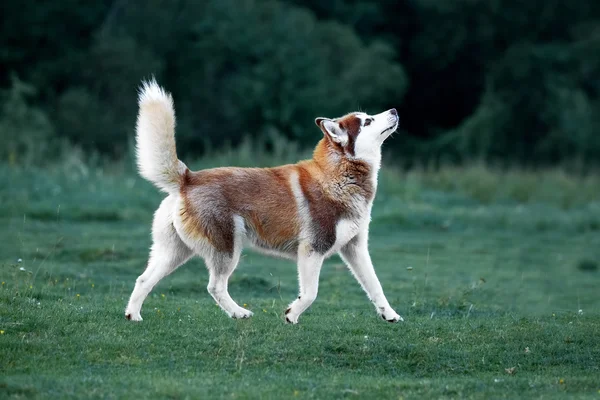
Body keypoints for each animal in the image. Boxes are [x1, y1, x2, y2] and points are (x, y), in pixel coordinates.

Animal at [123, 79, 400, 324]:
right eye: (367, 121)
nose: (395, 110)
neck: (340, 177)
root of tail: (188, 178)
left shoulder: (356, 248)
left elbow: (376, 286)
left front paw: (390, 315)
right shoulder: (312, 250)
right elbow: (310, 294)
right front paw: (291, 315)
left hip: (175, 252)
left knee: (143, 279)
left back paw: (133, 315)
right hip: (228, 249)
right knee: (215, 286)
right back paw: (239, 313)